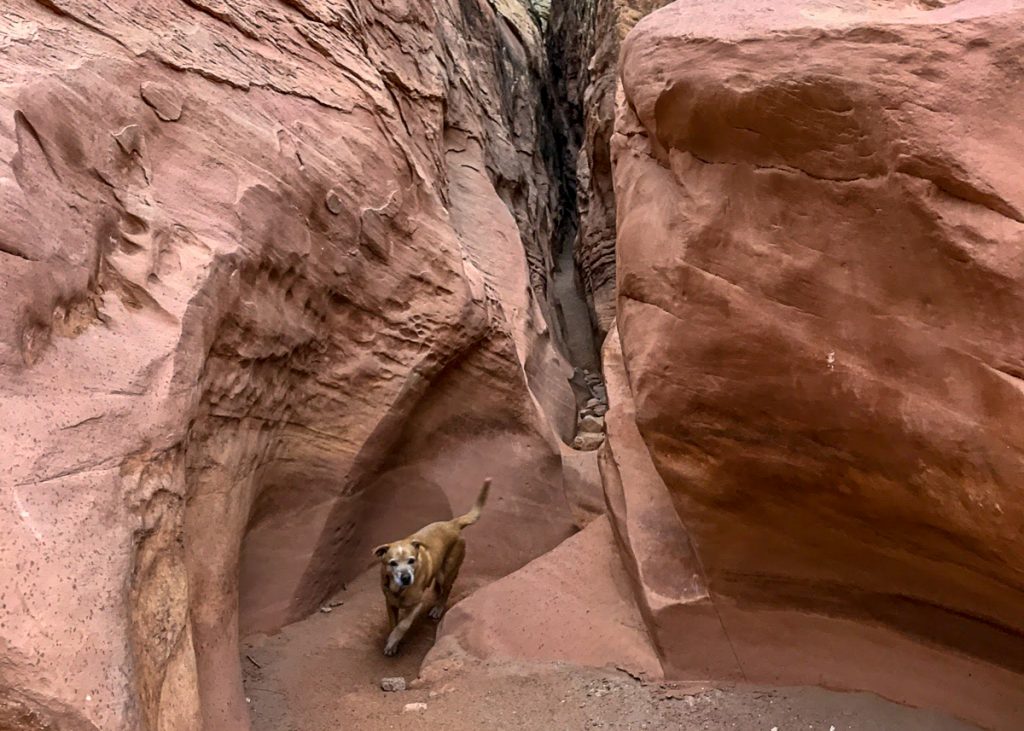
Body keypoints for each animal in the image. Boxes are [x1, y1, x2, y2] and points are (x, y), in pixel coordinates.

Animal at [374, 479, 489, 655]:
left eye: (412, 560)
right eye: (392, 563)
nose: (406, 577)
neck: (399, 589)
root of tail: (452, 524)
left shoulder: (417, 605)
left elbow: (403, 625)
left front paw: (393, 640)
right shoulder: (390, 604)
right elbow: (393, 624)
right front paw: (393, 644)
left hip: (447, 572)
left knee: (446, 589)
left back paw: (438, 608)